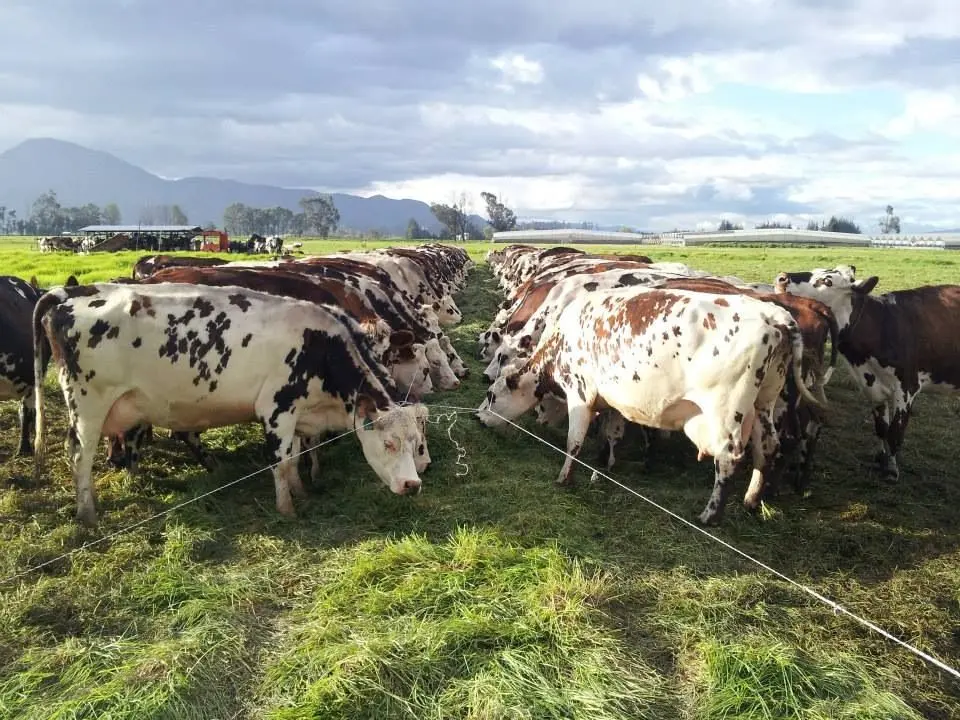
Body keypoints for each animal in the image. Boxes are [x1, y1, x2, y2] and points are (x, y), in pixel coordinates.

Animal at [33, 282, 430, 528]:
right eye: (389, 443)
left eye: (415, 442)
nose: (413, 484)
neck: (319, 347)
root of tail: (70, 294)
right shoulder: (277, 409)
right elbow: (281, 462)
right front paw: (286, 508)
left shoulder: (299, 413)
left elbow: (297, 456)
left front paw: (302, 490)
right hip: (88, 404)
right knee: (80, 456)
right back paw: (87, 513)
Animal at [478, 286, 824, 524]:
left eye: (492, 395)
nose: (479, 418)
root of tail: (775, 315)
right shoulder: (611, 400)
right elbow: (611, 432)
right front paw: (604, 463)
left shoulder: (581, 393)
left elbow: (574, 441)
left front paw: (565, 478)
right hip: (765, 402)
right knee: (767, 448)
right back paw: (751, 499)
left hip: (727, 413)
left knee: (728, 459)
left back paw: (710, 515)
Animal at [772, 266, 960, 484]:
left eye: (827, 281)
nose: (782, 278)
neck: (882, 326)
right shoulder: (872, 385)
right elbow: (882, 428)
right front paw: (882, 458)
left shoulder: (907, 387)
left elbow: (895, 433)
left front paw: (892, 470)